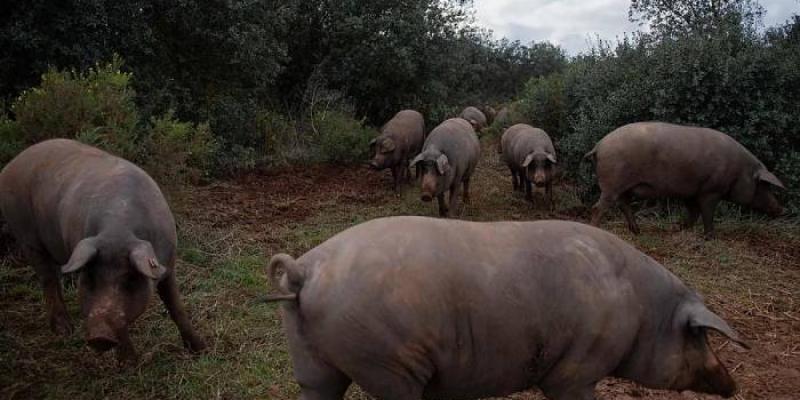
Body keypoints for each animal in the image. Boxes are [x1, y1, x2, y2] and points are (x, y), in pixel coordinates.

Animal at [0, 139, 206, 361]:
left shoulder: (168, 265)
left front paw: (200, 348)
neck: (118, 231)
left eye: (129, 280)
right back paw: (65, 331)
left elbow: (176, 307)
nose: (99, 336)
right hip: (25, 234)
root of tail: (10, 165)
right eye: (90, 278)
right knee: (48, 278)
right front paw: (130, 363)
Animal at [264, 216, 749, 400]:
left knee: (317, 387)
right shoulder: (579, 366)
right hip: (386, 362)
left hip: (309, 359)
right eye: (698, 335)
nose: (732, 386)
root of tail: (305, 269)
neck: (643, 315)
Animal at [586, 122, 785, 238]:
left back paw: (637, 231)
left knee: (623, 204)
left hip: (623, 186)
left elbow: (693, 213)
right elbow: (706, 214)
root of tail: (599, 145)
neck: (739, 170)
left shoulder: (691, 192)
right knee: (598, 207)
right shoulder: (711, 190)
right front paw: (710, 237)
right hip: (612, 182)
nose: (780, 209)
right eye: (764, 185)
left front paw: (678, 229)